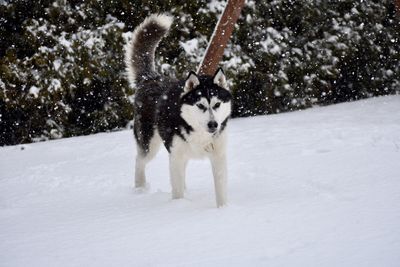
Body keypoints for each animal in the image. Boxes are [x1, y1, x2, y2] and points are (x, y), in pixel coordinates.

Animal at [124, 13, 231, 208]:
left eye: (217, 104)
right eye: (200, 105)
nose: (213, 124)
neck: (199, 134)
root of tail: (151, 78)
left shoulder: (218, 156)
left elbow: (220, 190)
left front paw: (223, 210)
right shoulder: (176, 157)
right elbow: (177, 191)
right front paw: (179, 207)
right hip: (150, 144)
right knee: (139, 161)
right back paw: (140, 189)